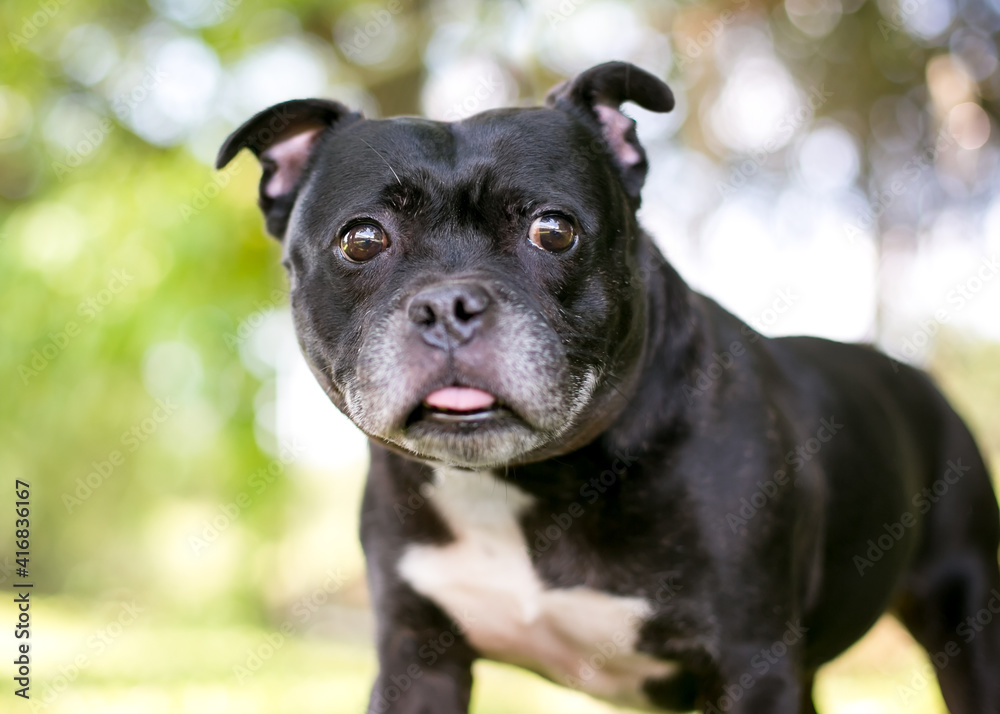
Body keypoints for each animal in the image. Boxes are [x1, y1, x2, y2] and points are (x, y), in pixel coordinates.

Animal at [219, 62, 1000, 712]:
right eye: (361, 239)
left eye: (554, 230)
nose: (448, 305)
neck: (524, 484)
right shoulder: (419, 662)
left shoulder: (752, 663)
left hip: (965, 617)